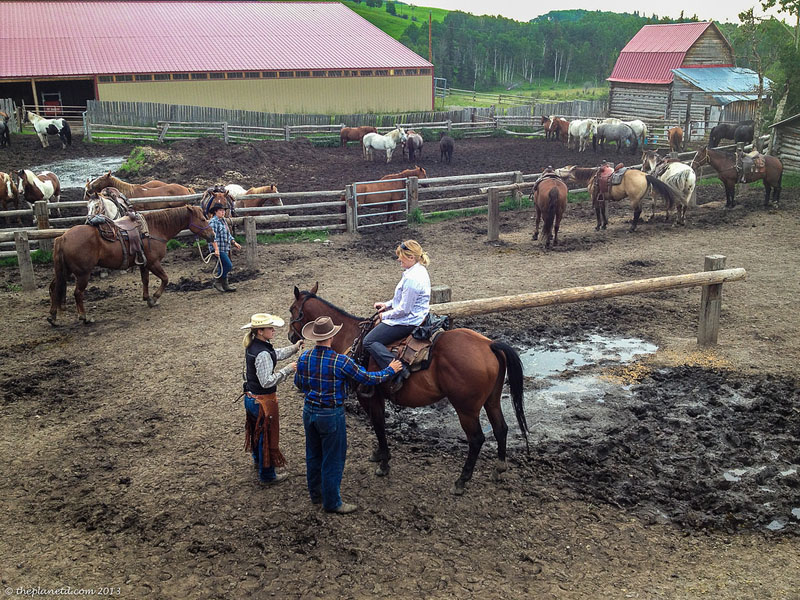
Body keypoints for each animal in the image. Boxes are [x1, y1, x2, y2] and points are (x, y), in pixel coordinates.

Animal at [48, 207, 214, 328]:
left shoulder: (144, 263)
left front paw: (147, 298)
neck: (154, 229)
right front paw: (154, 298)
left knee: (55, 288)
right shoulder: (153, 263)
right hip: (83, 274)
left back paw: (53, 317)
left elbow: (145, 280)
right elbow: (165, 279)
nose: (212, 235)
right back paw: (84, 317)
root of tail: (62, 237)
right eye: (203, 219)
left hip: (64, 272)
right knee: (77, 293)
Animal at [290, 284, 532, 494]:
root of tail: (489, 345)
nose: (291, 337)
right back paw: (499, 469)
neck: (352, 338)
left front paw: (384, 464)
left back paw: (461, 481)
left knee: (476, 439)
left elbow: (378, 425)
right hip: (492, 400)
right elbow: (377, 425)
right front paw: (378, 454)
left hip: (466, 409)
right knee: (501, 428)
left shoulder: (368, 396)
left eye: (292, 309)